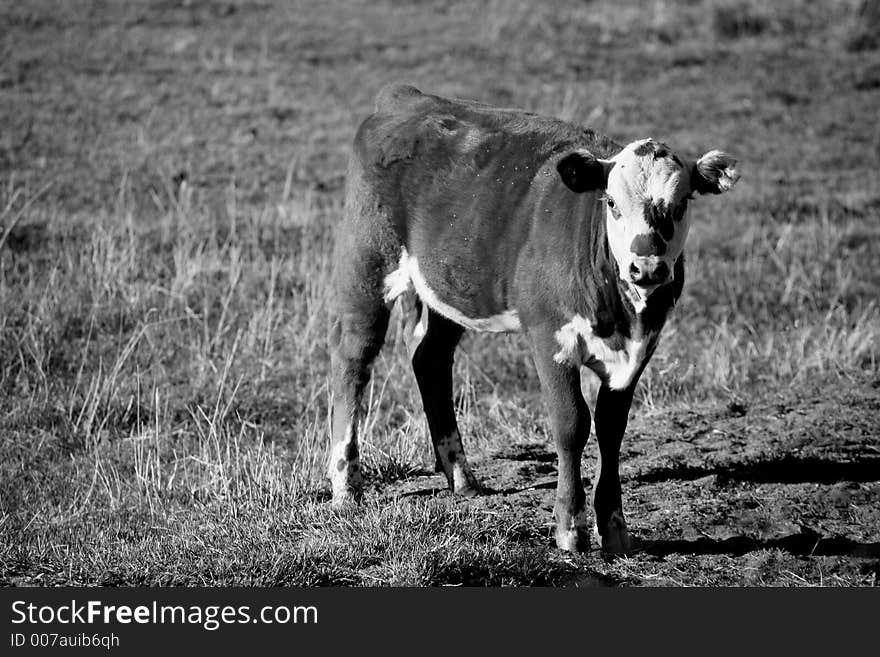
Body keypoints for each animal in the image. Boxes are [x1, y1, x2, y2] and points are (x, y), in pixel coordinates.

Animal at [326, 84, 740, 552]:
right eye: (611, 202)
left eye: (682, 202)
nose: (647, 267)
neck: (621, 313)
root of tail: (405, 97)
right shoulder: (549, 337)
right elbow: (572, 424)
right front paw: (571, 528)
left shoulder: (640, 351)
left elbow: (612, 429)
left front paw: (615, 527)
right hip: (366, 265)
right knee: (353, 361)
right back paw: (346, 487)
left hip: (447, 287)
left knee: (430, 361)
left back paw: (462, 478)